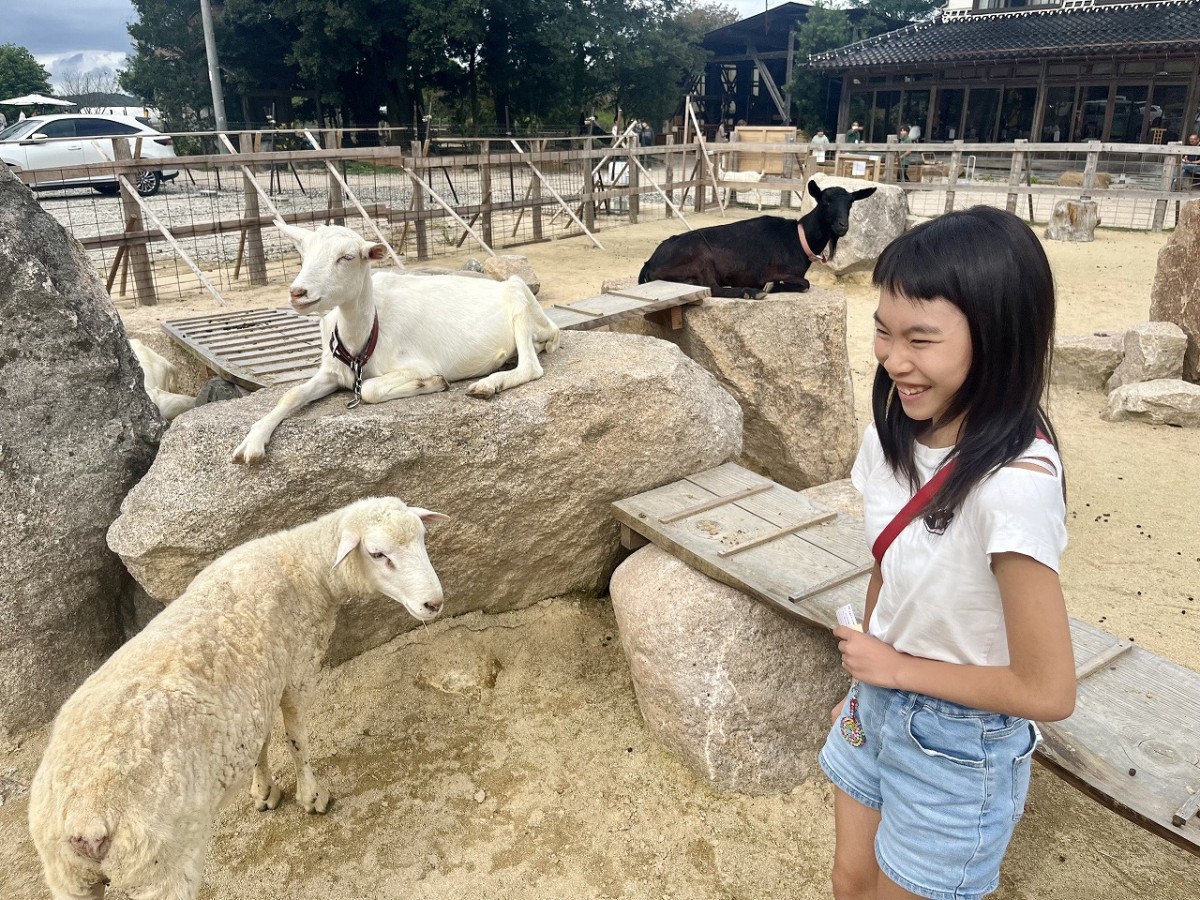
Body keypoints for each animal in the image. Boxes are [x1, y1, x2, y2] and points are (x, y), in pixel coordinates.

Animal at [29, 496, 451, 897]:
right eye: (378, 554)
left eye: (422, 539)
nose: (434, 603)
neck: (303, 566)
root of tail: (88, 819)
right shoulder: (296, 671)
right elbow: (297, 739)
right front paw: (311, 796)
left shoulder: (254, 693)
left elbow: (260, 744)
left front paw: (264, 792)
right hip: (161, 868)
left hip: (68, 878)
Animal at [232, 220, 561, 465]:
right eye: (304, 254)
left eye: (346, 257)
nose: (298, 293)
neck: (362, 341)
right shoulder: (332, 372)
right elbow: (292, 393)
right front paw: (252, 443)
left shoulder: (415, 363)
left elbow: (370, 390)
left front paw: (433, 383)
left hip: (518, 295)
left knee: (531, 366)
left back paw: (488, 384)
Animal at [638, 181, 883, 300]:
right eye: (826, 201)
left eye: (851, 203)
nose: (843, 225)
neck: (798, 238)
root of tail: (649, 263)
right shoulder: (771, 271)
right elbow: (805, 283)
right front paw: (771, 287)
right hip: (701, 257)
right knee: (712, 287)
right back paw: (750, 292)